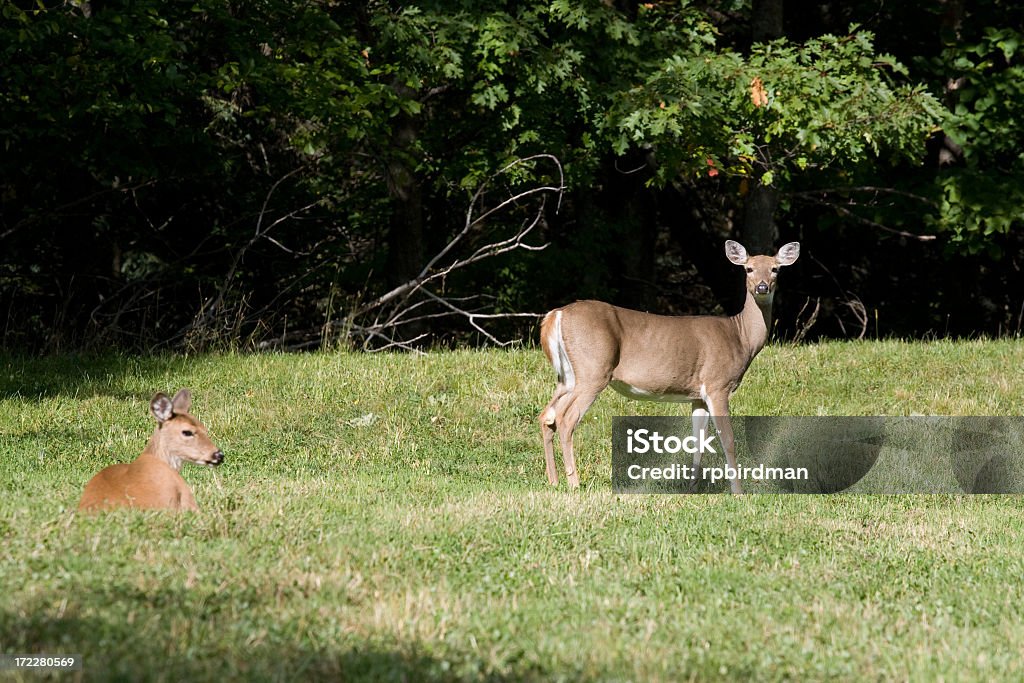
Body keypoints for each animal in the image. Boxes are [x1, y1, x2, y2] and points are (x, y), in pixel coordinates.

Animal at [536, 239, 798, 491]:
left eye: (775, 269)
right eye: (748, 268)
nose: (762, 287)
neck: (740, 337)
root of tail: (555, 315)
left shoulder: (698, 395)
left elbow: (698, 441)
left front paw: (692, 488)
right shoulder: (718, 384)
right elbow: (728, 439)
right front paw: (738, 491)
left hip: (567, 376)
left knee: (547, 415)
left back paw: (553, 480)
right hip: (594, 370)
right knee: (566, 418)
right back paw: (573, 483)